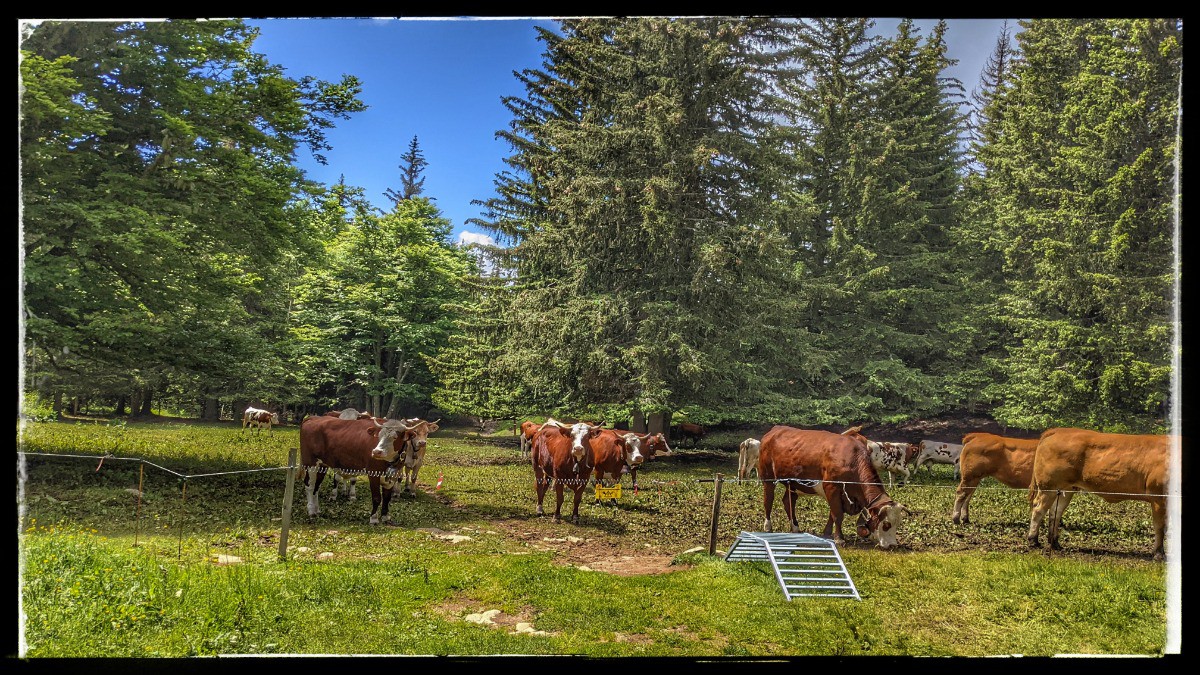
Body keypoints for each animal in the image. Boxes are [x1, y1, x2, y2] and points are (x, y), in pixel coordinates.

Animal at [758, 425, 907, 547]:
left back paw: (795, 527)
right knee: (768, 501)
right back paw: (768, 527)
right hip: (768, 478)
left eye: (898, 523)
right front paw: (839, 539)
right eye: (886, 524)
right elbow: (837, 514)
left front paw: (827, 533)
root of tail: (775, 429)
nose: (893, 545)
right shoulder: (832, 488)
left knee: (788, 501)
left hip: (792, 483)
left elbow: (832, 513)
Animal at [1027, 425, 1166, 557]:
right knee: (1038, 509)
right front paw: (1159, 554)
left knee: (1055, 512)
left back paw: (1054, 543)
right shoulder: (1158, 496)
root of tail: (1059, 430)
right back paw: (1033, 540)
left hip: (1065, 489)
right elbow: (1160, 526)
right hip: (1048, 487)